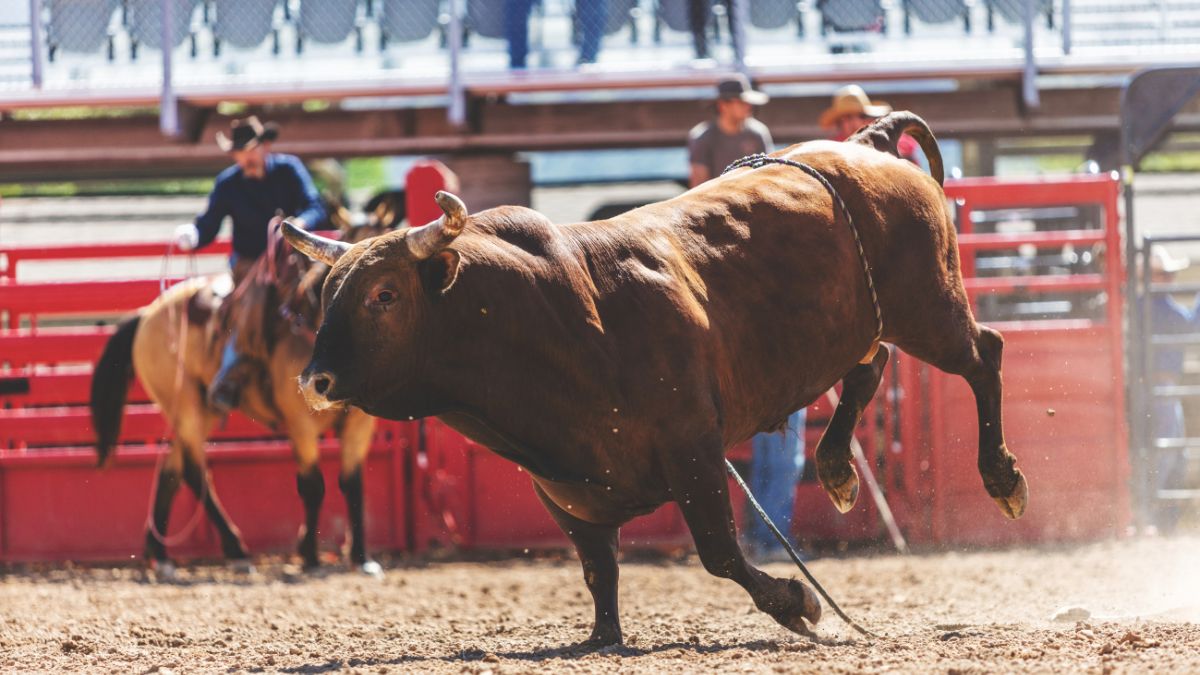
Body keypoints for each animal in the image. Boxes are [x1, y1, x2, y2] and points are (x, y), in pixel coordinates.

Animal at [281, 112, 1028, 646]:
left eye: (383, 295)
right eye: (328, 291)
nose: (314, 379)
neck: (553, 318)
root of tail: (864, 144)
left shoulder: (693, 448)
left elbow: (720, 552)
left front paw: (797, 601)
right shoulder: (565, 490)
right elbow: (598, 568)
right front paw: (602, 636)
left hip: (929, 307)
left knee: (983, 355)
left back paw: (1000, 476)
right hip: (866, 325)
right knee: (870, 369)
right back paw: (839, 466)